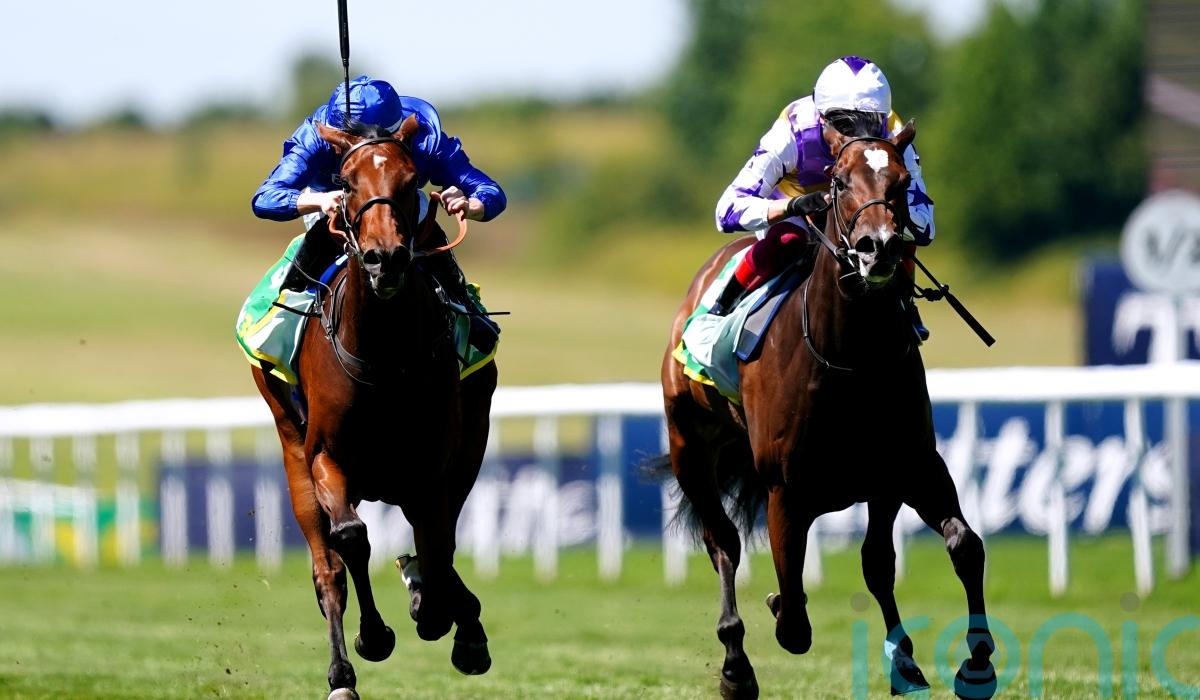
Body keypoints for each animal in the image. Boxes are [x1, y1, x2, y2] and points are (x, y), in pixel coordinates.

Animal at [251, 115, 497, 700]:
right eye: (346, 181)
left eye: (411, 181)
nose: (385, 258)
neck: (384, 353)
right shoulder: (325, 456)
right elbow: (351, 539)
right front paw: (373, 637)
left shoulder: (434, 462)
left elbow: (438, 541)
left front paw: (440, 613)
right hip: (291, 448)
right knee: (328, 569)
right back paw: (342, 673)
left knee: (441, 540)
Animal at [658, 121, 997, 699]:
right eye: (838, 182)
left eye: (902, 181)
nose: (878, 248)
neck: (850, 359)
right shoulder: (786, 492)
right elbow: (793, 618)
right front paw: (773, 609)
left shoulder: (906, 469)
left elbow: (949, 549)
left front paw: (965, 662)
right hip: (690, 448)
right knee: (723, 544)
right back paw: (735, 666)